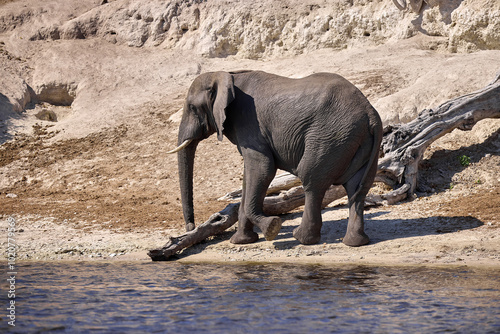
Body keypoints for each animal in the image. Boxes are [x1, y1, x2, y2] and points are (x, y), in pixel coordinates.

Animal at [168, 70, 382, 245]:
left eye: (192, 107)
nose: (190, 227)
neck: (227, 75)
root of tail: (370, 113)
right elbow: (248, 177)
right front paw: (241, 241)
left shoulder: (249, 123)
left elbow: (263, 168)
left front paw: (272, 228)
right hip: (355, 140)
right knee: (357, 189)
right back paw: (354, 243)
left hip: (329, 137)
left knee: (312, 181)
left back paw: (301, 238)